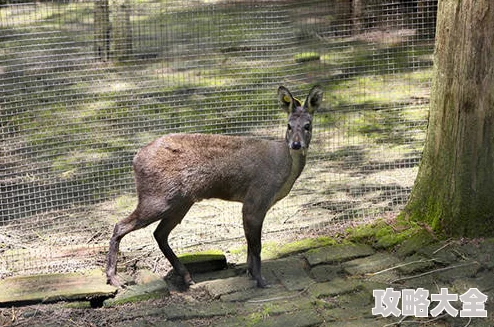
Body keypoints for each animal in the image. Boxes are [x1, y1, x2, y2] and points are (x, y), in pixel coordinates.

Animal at [105, 86, 322, 288]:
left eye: (308, 125)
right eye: (288, 125)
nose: (296, 145)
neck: (283, 171)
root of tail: (135, 159)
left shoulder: (252, 204)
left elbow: (249, 246)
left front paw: (251, 274)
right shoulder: (256, 198)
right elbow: (256, 247)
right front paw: (261, 281)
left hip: (180, 202)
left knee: (159, 233)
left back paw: (187, 277)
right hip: (157, 197)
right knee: (121, 225)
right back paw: (114, 279)